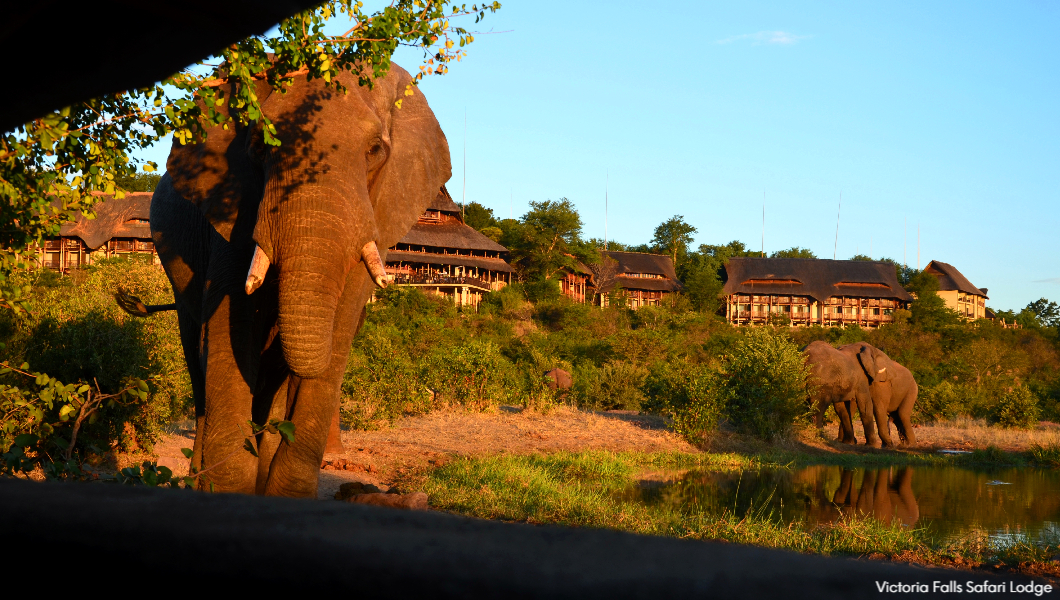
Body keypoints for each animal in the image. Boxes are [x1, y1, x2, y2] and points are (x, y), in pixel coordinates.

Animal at [146, 63, 451, 498]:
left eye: (375, 150)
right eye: (258, 146)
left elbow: (337, 333)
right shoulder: (233, 211)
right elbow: (230, 328)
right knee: (199, 355)